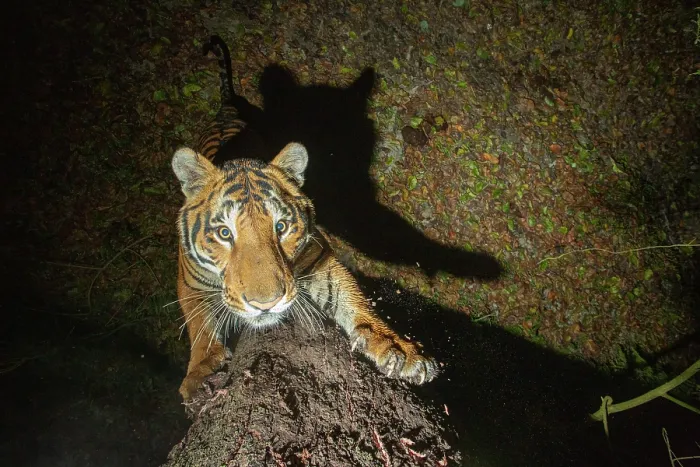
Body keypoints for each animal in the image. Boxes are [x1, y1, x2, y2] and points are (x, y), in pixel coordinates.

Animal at [172, 36, 438, 400]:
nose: (266, 305)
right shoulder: (189, 281)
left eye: (281, 227)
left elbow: (353, 298)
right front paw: (200, 373)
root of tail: (227, 109)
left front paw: (397, 347)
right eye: (225, 234)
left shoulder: (317, 259)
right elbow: (198, 323)